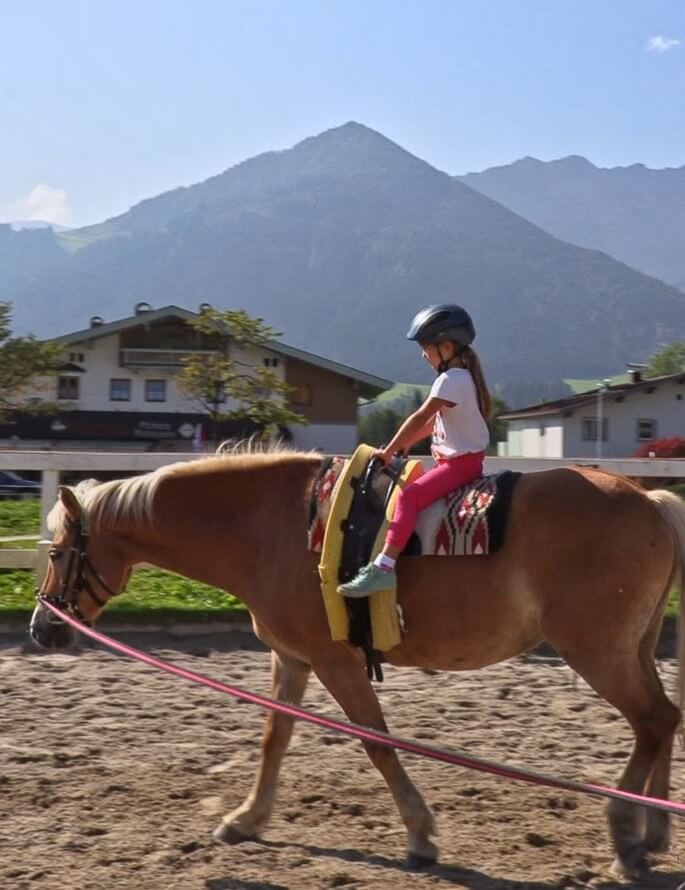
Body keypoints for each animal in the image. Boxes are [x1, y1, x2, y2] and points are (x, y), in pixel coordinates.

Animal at [29, 447, 685, 878]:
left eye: (58, 552)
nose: (42, 629)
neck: (271, 527)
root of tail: (651, 500)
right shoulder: (291, 657)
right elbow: (275, 737)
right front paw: (246, 818)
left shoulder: (334, 662)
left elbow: (375, 740)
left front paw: (420, 834)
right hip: (632, 648)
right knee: (665, 718)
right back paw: (654, 831)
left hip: (598, 652)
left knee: (652, 721)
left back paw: (625, 834)